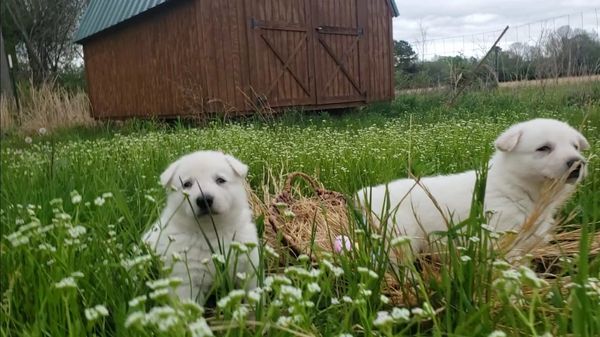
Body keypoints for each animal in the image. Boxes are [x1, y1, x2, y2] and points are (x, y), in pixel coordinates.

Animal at [145, 150, 260, 302]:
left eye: (220, 180)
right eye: (187, 184)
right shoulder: (186, 278)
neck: (211, 230)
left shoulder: (248, 266)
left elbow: (251, 291)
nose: (204, 199)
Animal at [358, 119, 588, 258]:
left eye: (575, 146)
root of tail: (366, 194)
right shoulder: (502, 239)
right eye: (544, 148)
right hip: (399, 238)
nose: (578, 164)